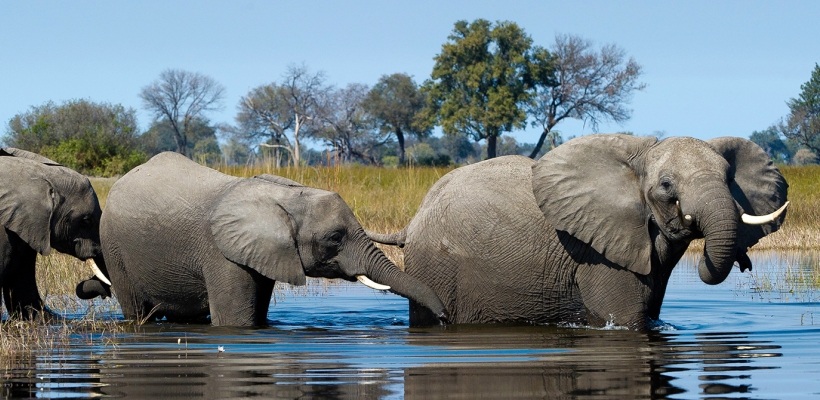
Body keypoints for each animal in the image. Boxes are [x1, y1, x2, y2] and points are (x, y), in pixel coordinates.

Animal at [76, 152, 448, 326]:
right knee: (136, 310)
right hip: (115, 246)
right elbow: (235, 322)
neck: (284, 197)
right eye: (334, 238)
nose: (444, 318)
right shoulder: (221, 253)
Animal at [370, 136, 788, 330]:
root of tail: (413, 219)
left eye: (730, 178)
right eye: (667, 185)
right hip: (435, 266)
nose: (745, 264)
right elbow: (626, 320)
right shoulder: (597, 255)